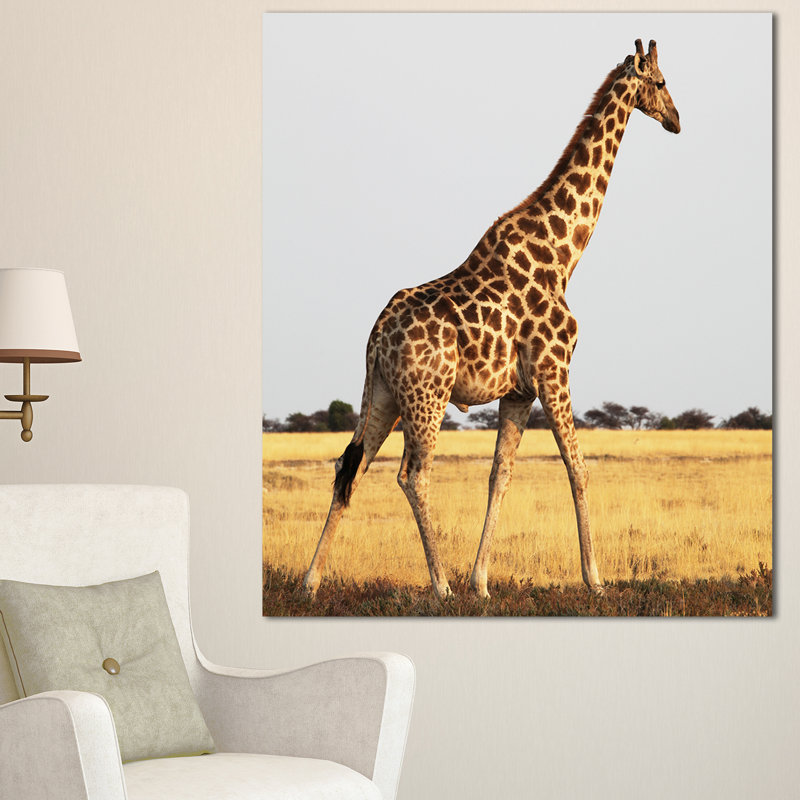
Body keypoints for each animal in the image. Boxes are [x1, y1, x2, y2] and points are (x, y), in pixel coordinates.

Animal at [303, 39, 680, 600]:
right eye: (660, 82)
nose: (677, 120)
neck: (563, 254)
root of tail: (375, 338)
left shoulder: (519, 390)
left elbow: (499, 475)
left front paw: (481, 581)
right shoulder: (554, 372)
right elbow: (578, 468)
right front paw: (595, 579)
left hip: (384, 395)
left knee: (351, 466)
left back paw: (311, 580)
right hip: (427, 396)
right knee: (412, 475)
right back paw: (439, 585)